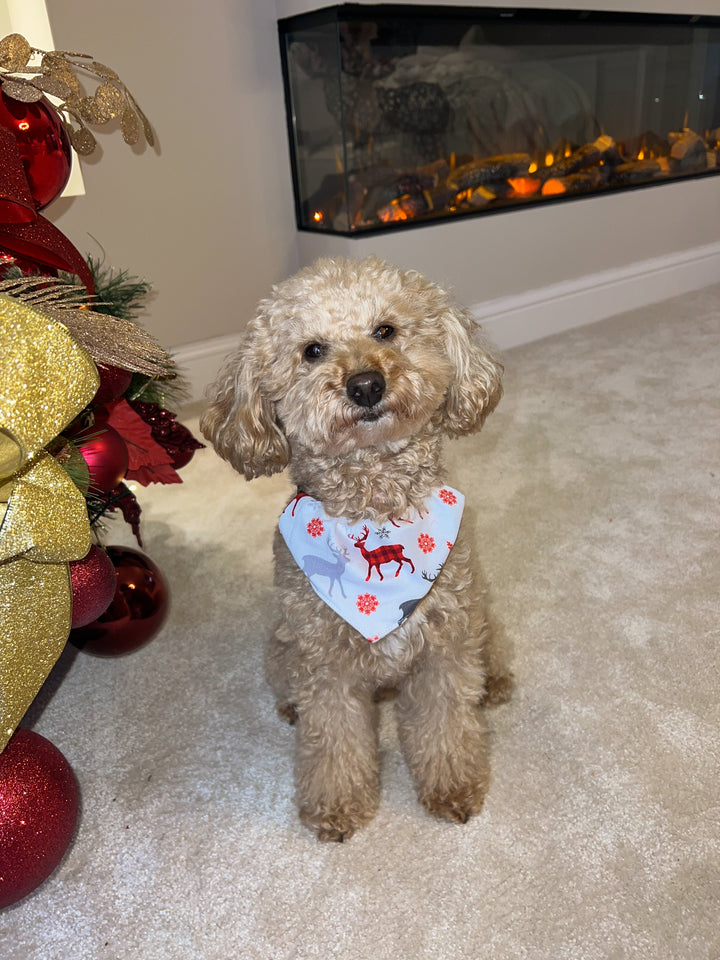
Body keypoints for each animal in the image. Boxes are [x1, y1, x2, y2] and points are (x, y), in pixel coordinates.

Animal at [198, 255, 512, 840]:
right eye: (311, 350)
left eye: (385, 330)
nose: (366, 385)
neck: (376, 501)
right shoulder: (326, 668)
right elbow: (334, 744)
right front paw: (339, 807)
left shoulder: (443, 650)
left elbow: (446, 726)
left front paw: (453, 787)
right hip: (282, 646)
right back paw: (289, 708)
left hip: (479, 614)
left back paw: (495, 683)